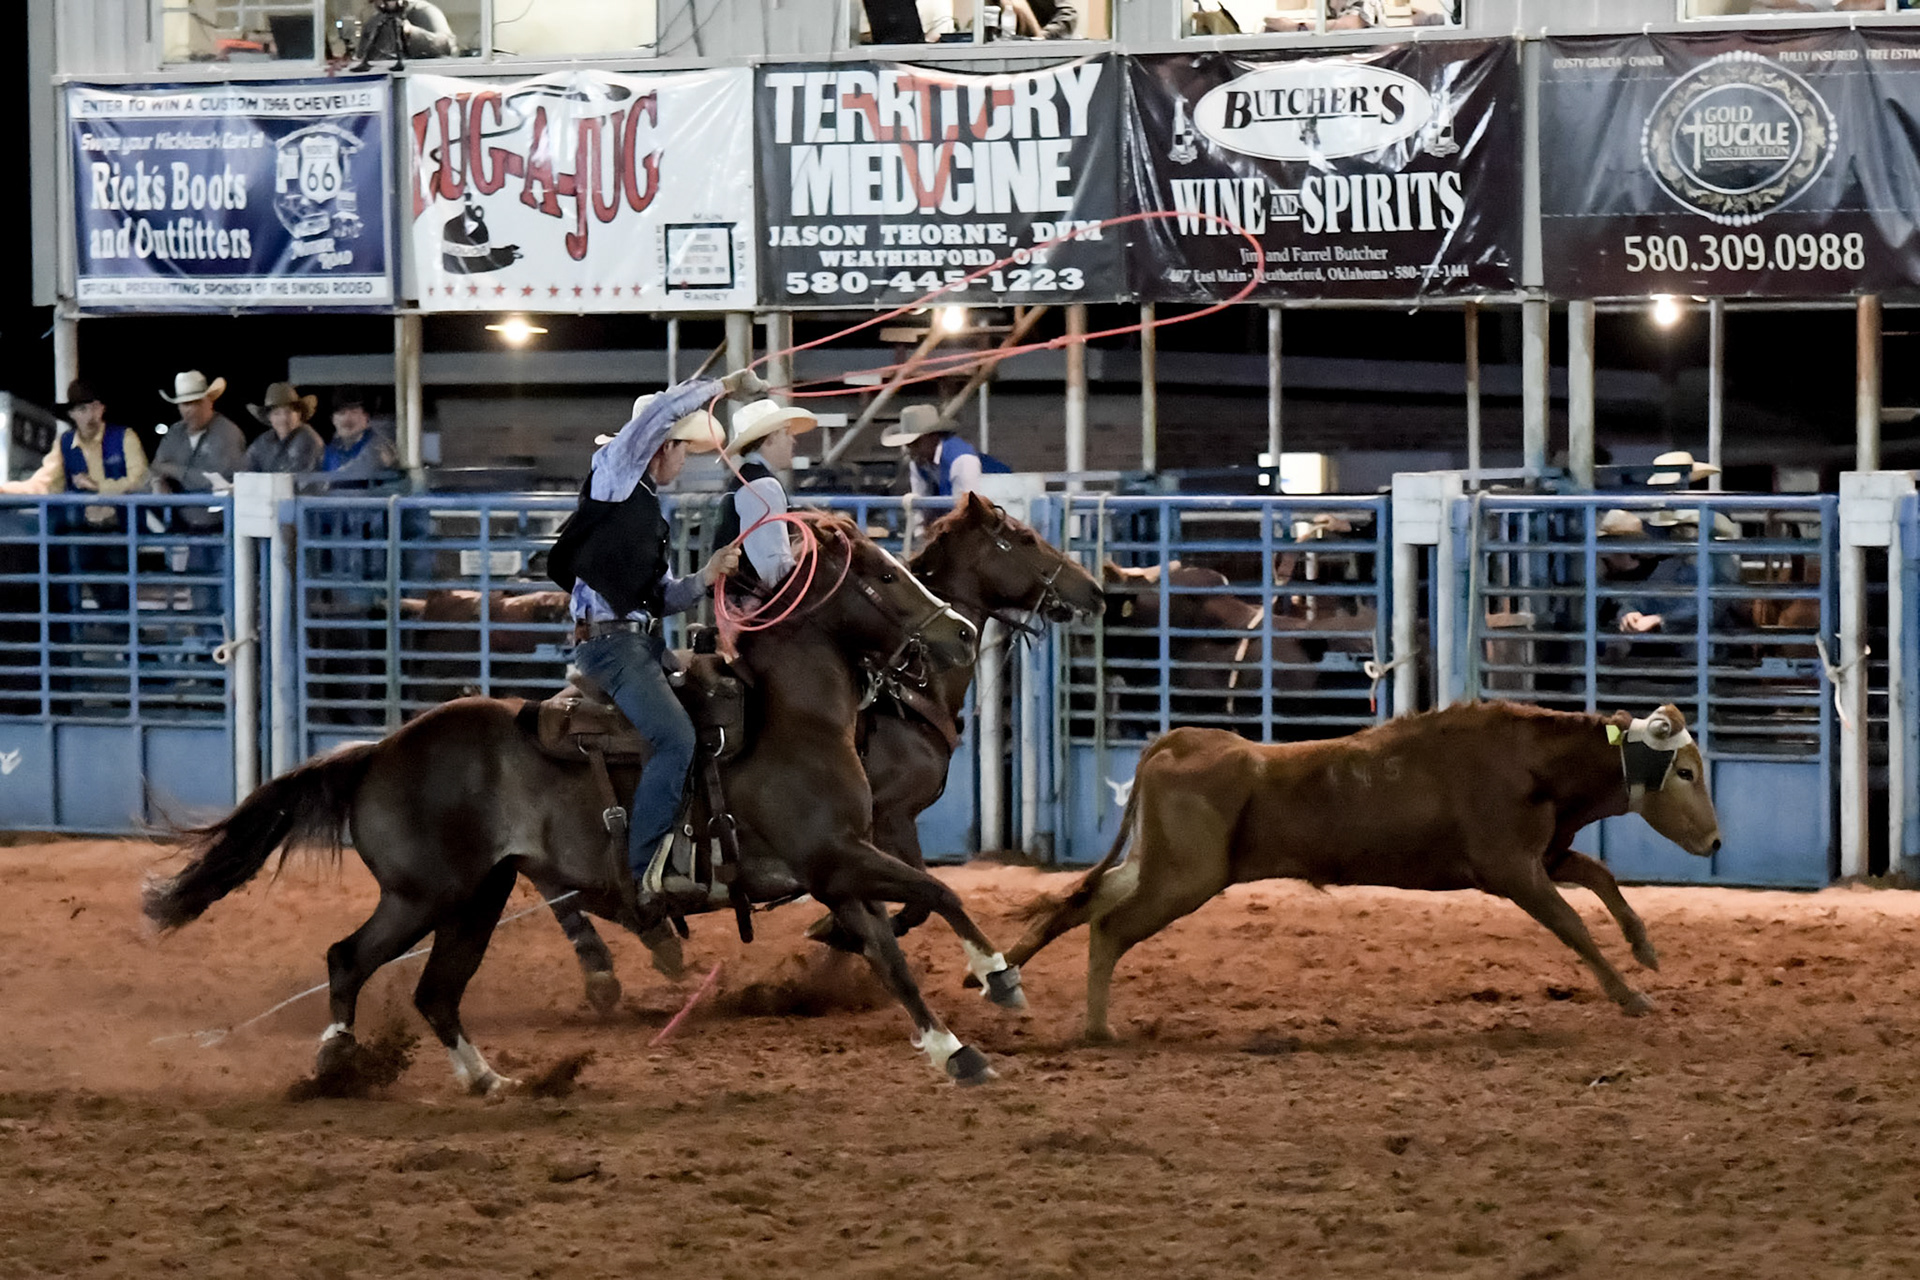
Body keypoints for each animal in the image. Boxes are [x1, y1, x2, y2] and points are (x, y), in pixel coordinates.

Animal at [145, 515, 1029, 1092]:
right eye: (880, 576)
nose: (956, 632)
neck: (797, 717)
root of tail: (377, 755)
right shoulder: (837, 856)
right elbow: (934, 893)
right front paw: (997, 978)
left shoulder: (839, 867)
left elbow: (893, 946)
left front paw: (954, 1047)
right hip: (423, 894)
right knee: (348, 959)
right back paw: (336, 1058)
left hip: (477, 897)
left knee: (435, 991)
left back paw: (489, 1079)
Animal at [544, 492, 1107, 1004]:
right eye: (1025, 539)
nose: (1097, 591)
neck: (907, 693)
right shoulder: (890, 816)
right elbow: (916, 900)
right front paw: (834, 935)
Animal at [1007, 700, 1721, 1042]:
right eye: (1686, 771)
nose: (1715, 840)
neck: (1534, 764)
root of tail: (1180, 742)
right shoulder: (1514, 870)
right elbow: (1573, 924)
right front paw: (1631, 996)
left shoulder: (1546, 855)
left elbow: (1600, 875)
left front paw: (1646, 949)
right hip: (1185, 878)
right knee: (1110, 926)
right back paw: (1097, 1027)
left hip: (1161, 867)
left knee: (1083, 903)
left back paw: (1007, 971)